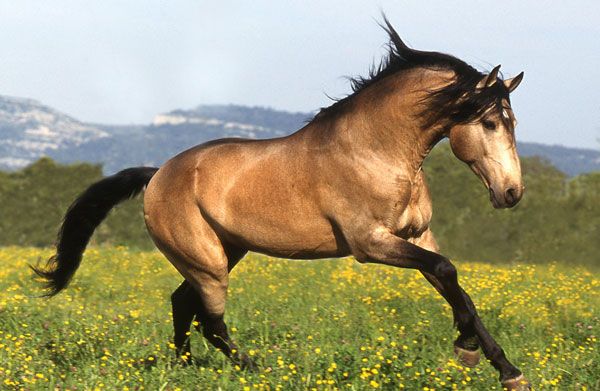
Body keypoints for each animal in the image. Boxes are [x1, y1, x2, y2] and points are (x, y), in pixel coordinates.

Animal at [34, 17, 528, 391]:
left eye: (512, 122)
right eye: (489, 122)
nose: (511, 193)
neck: (375, 152)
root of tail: (158, 174)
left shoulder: (418, 237)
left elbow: (455, 285)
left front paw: (505, 368)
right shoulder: (370, 245)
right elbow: (448, 271)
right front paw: (469, 352)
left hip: (224, 253)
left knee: (182, 304)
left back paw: (184, 368)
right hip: (208, 263)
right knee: (209, 320)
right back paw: (256, 369)